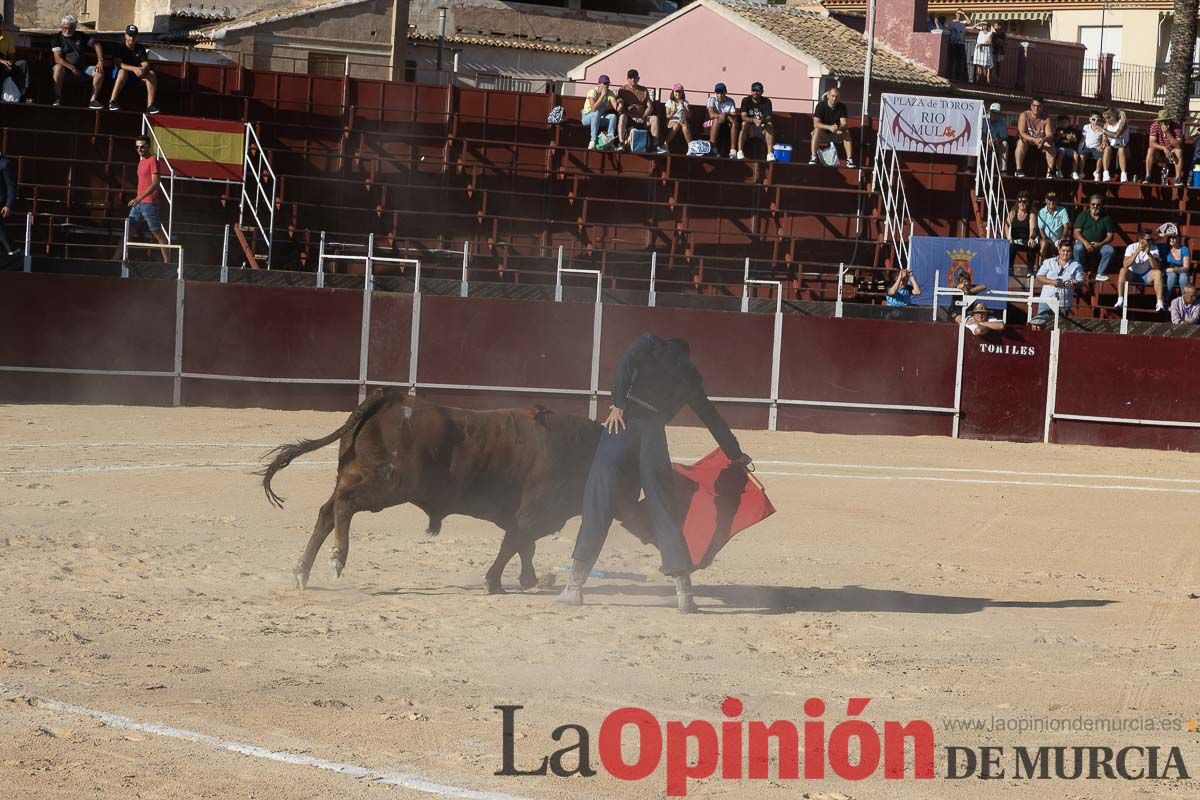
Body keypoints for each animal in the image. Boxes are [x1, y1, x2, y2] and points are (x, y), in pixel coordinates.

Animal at [259, 388, 652, 594]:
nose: (648, 524)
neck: (581, 450)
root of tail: (390, 398)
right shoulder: (532, 512)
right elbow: (515, 543)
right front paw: (497, 582)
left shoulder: (524, 516)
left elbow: (523, 546)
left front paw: (527, 580)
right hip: (388, 486)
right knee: (344, 505)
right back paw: (337, 559)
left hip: (354, 475)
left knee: (327, 512)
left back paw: (302, 572)